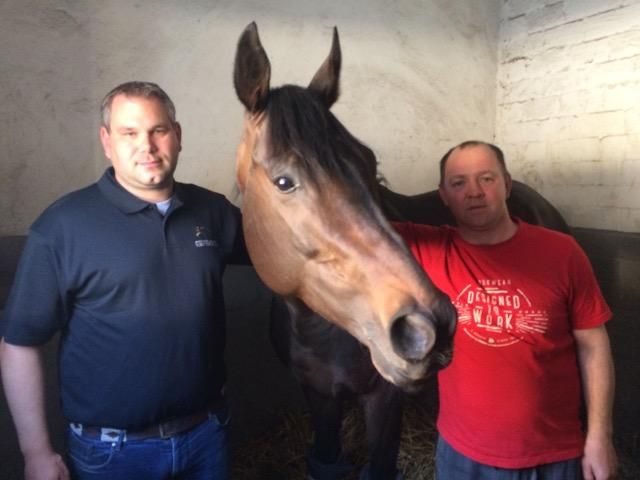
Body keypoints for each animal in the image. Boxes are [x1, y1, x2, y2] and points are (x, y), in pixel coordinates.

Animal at [232, 23, 458, 480]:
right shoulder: (318, 393)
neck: (318, 330)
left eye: (370, 162)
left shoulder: (385, 398)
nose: (427, 326)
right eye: (284, 182)